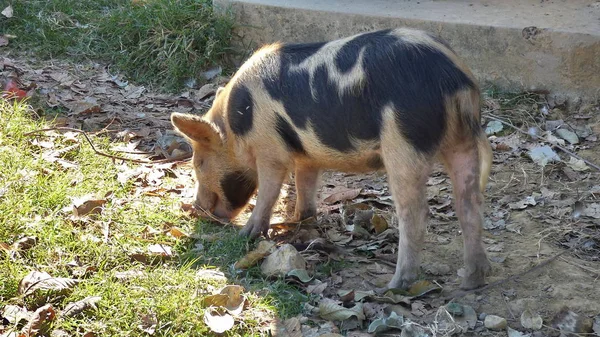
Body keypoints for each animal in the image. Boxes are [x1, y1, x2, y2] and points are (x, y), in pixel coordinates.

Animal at [169, 26, 492, 288]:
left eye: (199, 163)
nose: (195, 209)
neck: (236, 125)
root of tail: (454, 78)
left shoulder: (270, 149)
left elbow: (269, 191)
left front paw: (246, 235)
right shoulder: (305, 156)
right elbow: (305, 184)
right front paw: (299, 220)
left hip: (404, 141)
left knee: (415, 212)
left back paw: (394, 285)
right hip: (461, 143)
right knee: (469, 203)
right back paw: (472, 280)